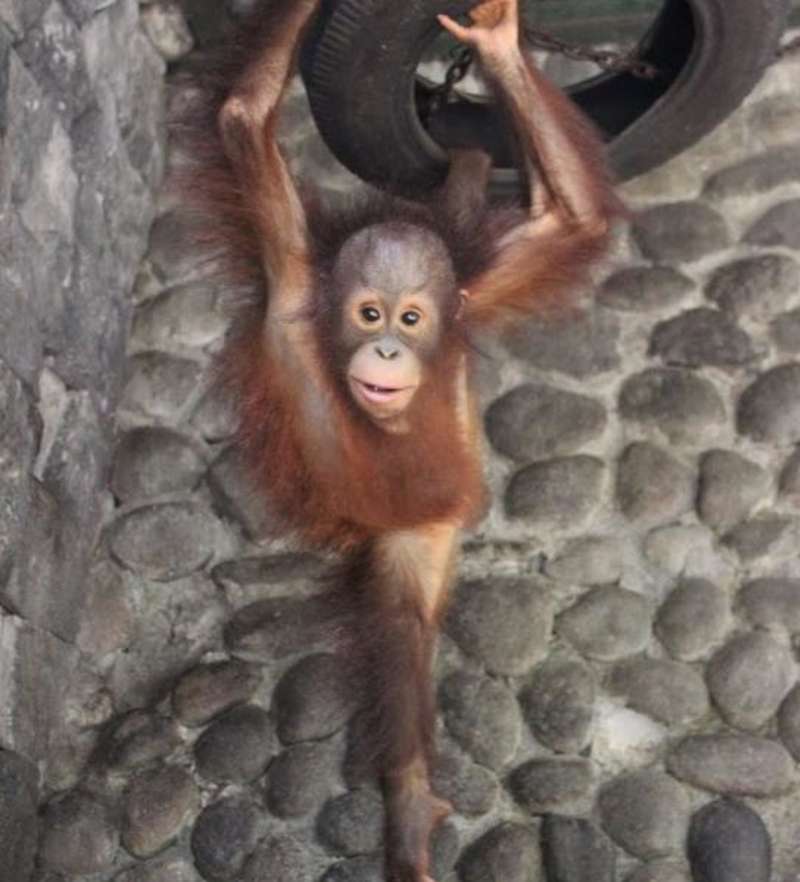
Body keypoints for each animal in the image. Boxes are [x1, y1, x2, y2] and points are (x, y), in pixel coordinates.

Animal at [192, 0, 623, 879]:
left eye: (412, 318)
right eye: (368, 314)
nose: (388, 350)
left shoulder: (474, 288)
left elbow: (572, 220)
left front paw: (496, 46)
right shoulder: (295, 284)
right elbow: (245, 120)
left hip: (426, 531)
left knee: (408, 626)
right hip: (401, 535)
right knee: (400, 633)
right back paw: (413, 804)